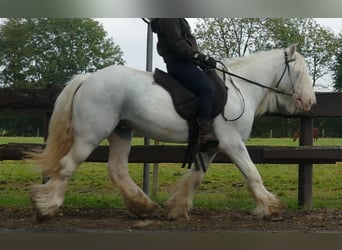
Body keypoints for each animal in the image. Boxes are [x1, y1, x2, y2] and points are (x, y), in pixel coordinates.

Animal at [29, 44, 316, 220]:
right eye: (299, 72)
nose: (309, 102)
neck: (240, 89)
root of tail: (88, 79)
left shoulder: (211, 146)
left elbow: (196, 178)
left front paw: (177, 208)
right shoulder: (232, 142)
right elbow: (252, 174)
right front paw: (271, 207)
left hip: (121, 131)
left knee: (117, 169)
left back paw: (144, 206)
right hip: (91, 134)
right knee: (67, 165)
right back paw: (47, 207)